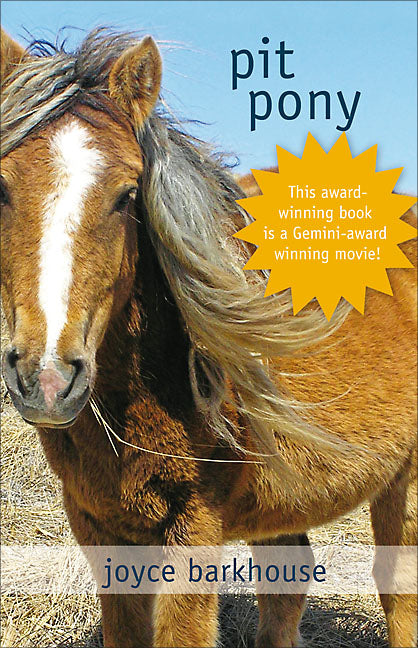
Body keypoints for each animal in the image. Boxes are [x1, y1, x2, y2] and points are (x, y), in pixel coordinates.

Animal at [1, 27, 416, 648]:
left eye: (128, 194)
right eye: (1, 189)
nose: (47, 380)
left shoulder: (194, 525)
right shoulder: (97, 522)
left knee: (398, 593)